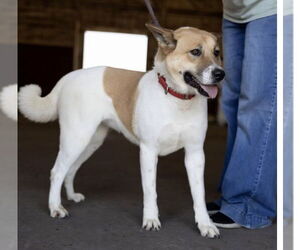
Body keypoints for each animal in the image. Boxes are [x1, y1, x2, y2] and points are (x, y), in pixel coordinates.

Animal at [18, 23, 225, 238]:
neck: (177, 100)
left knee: (70, 169)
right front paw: (151, 219)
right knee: (57, 171)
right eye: (195, 52)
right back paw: (55, 207)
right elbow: (150, 191)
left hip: (91, 142)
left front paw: (205, 224)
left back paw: (71, 196)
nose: (221, 74)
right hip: (75, 139)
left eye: (217, 52)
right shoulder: (148, 151)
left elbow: (199, 194)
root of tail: (69, 77)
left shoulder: (195, 154)